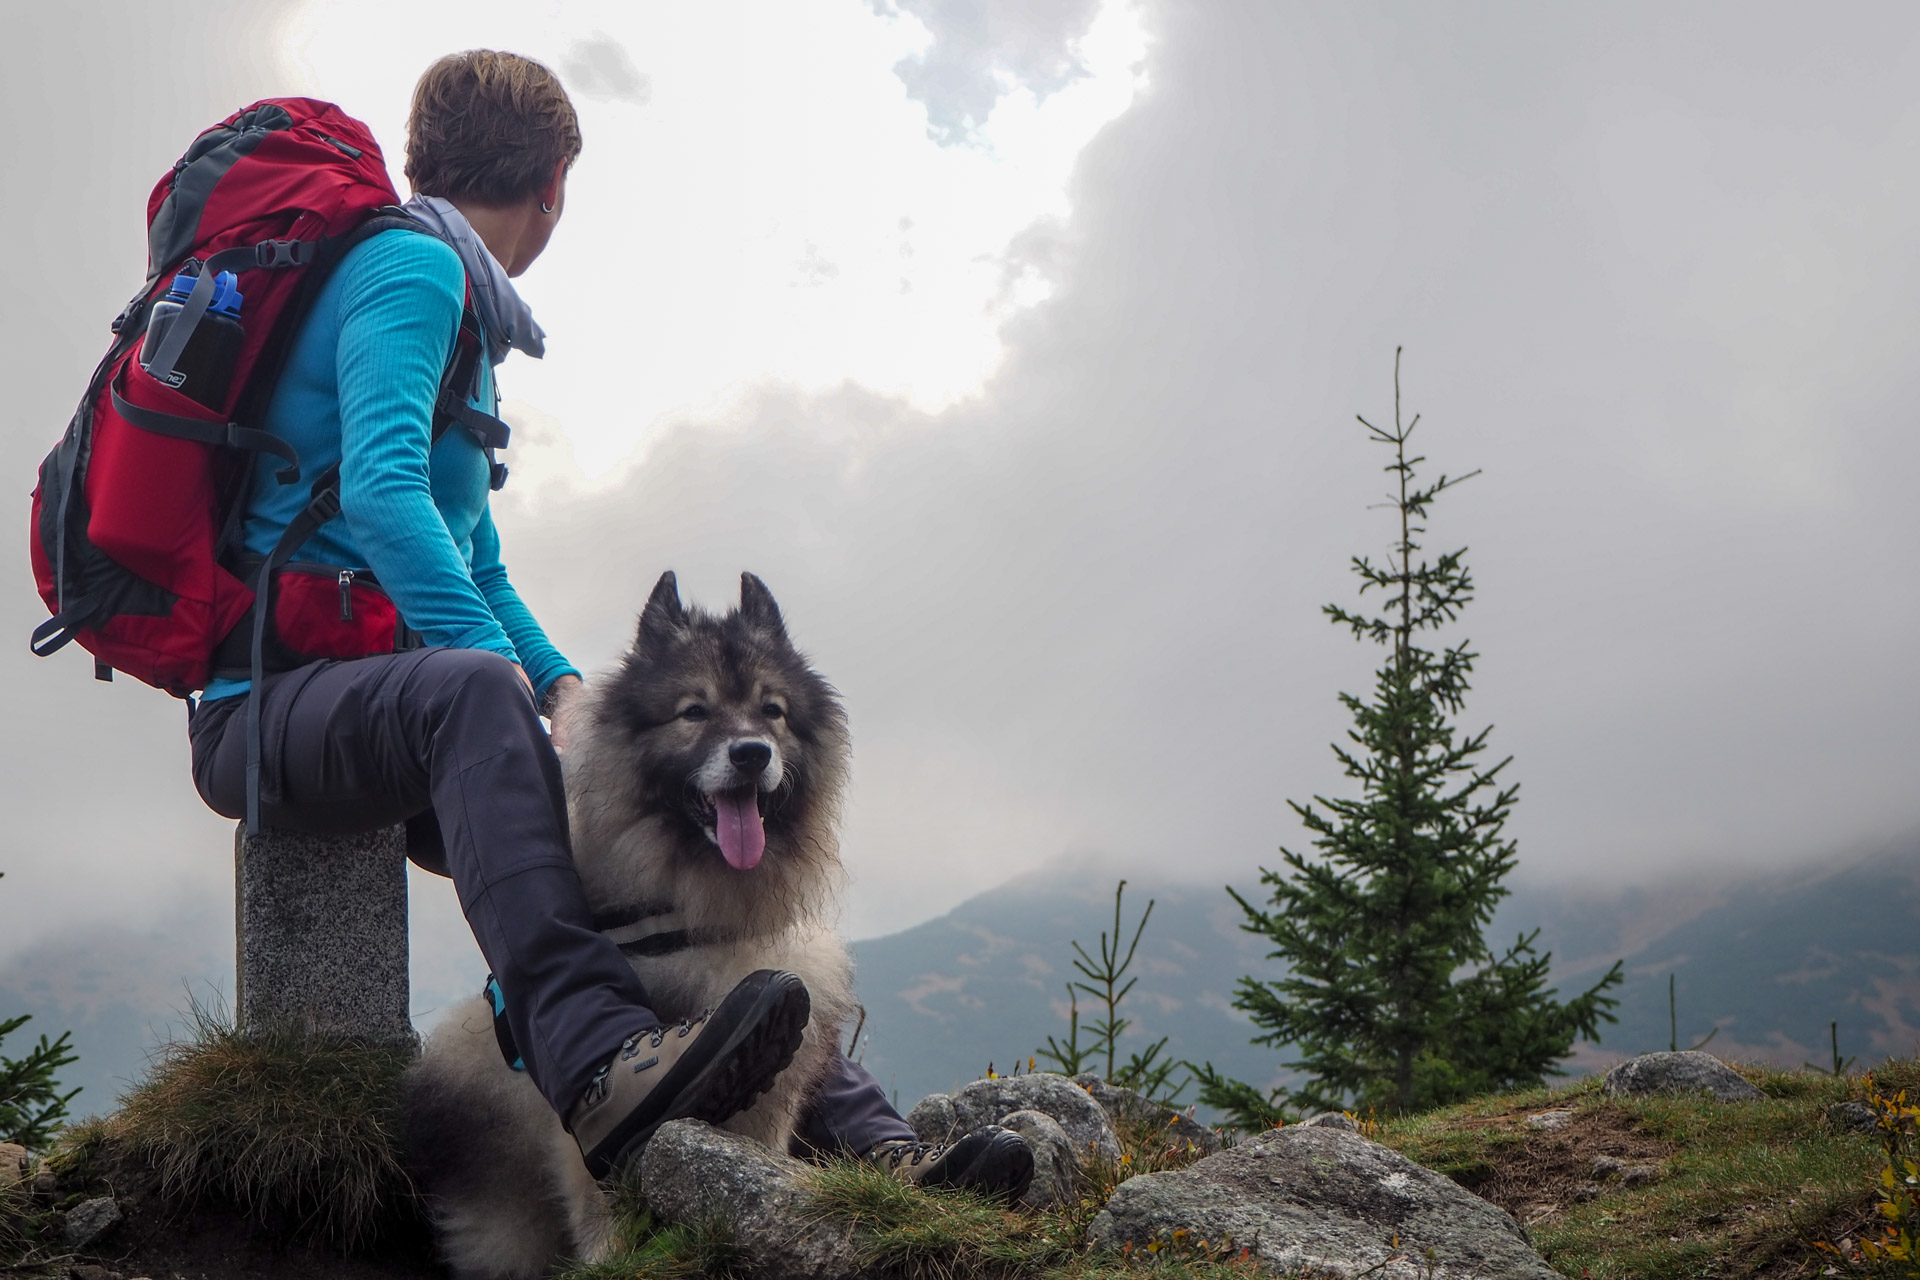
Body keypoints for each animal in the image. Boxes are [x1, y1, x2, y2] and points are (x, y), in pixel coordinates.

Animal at [405, 571, 856, 1280]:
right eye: (694, 712)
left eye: (772, 711)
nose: (751, 753)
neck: (697, 911)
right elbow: (602, 1192)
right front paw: (612, 1257)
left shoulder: (774, 1093)